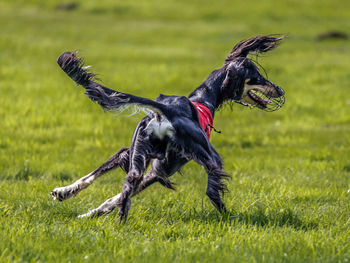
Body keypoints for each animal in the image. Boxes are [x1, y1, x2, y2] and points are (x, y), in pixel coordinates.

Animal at [51, 34, 284, 222]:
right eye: (257, 77)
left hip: (139, 149)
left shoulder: (146, 162)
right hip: (206, 156)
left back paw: (81, 200)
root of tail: (166, 110)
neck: (204, 98)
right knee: (212, 189)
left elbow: (113, 194)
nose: (280, 90)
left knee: (127, 181)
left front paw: (87, 213)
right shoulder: (164, 168)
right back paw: (227, 214)